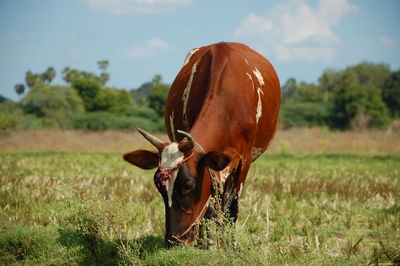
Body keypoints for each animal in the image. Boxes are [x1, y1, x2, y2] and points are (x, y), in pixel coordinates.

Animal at [123, 41, 280, 247]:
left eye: (188, 185)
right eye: (159, 186)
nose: (174, 240)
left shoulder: (244, 161)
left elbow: (232, 208)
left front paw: (231, 246)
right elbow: (209, 210)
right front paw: (207, 244)